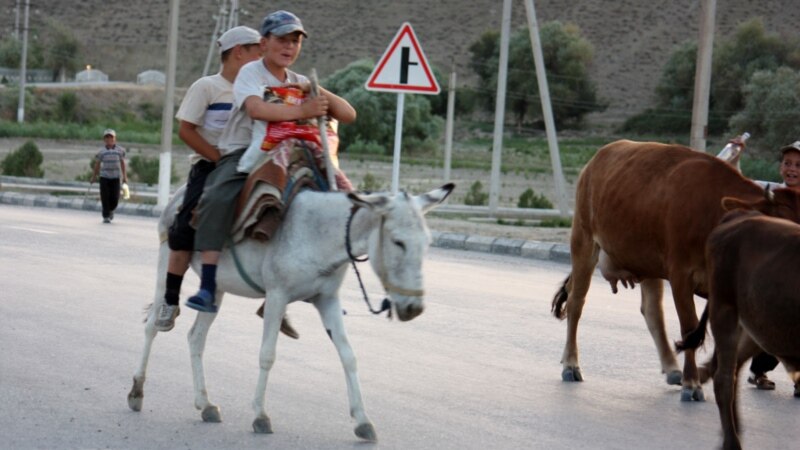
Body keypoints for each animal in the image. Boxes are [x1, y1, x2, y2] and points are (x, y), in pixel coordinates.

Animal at [552, 141, 800, 400]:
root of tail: (599, 157)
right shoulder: (681, 275)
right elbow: (689, 328)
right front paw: (693, 383)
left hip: (648, 261)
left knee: (652, 312)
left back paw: (672, 369)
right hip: (583, 241)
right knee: (576, 303)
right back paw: (571, 364)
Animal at [680, 206, 800, 448]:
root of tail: (743, 214)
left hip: (756, 327)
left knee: (731, 368)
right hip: (724, 311)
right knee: (724, 379)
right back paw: (731, 441)